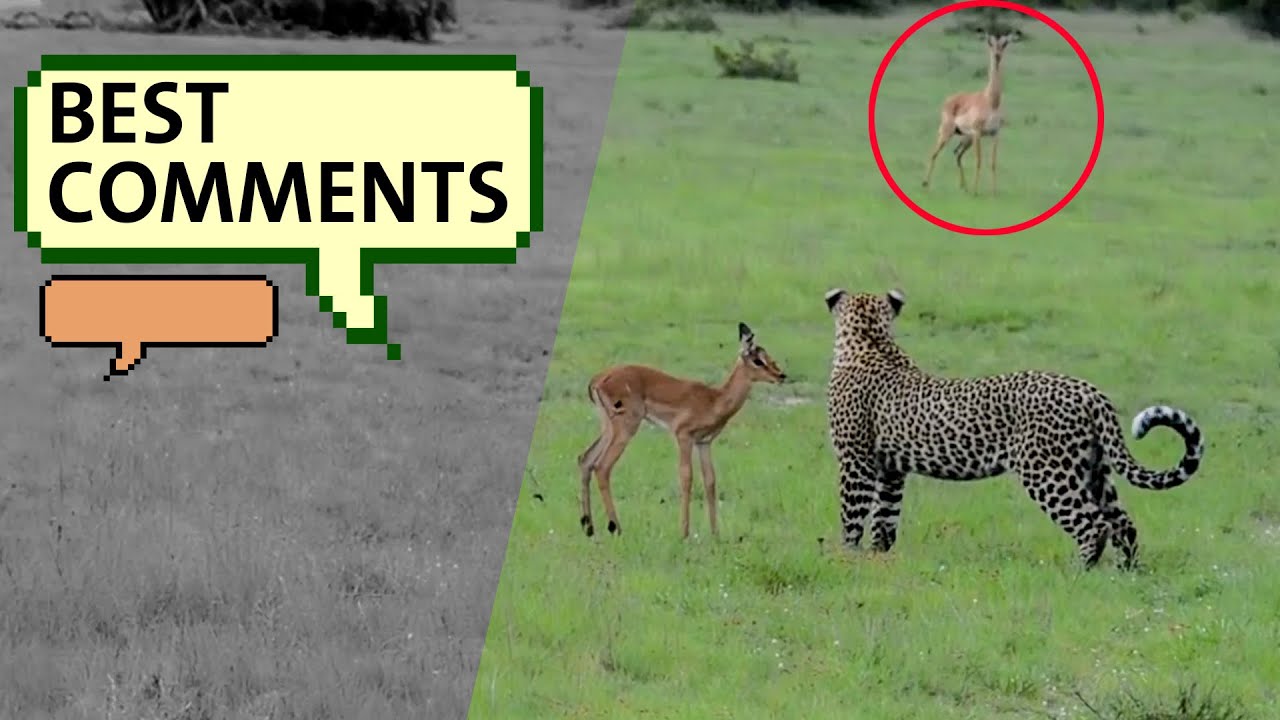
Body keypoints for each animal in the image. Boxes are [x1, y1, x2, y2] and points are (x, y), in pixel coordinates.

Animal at [576, 323, 787, 540]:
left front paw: (715, 533)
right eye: (757, 360)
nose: (781, 375)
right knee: (602, 467)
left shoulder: (704, 442)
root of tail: (598, 379)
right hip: (626, 428)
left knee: (586, 459)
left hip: (608, 428)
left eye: (767, 355)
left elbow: (710, 480)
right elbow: (687, 477)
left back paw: (589, 527)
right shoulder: (683, 437)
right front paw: (684, 532)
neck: (714, 399)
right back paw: (615, 527)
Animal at [822, 287, 1205, 570]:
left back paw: (1080, 572)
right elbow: (884, 519)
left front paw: (846, 558)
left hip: (1046, 470)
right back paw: (1126, 572)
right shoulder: (891, 470)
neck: (871, 341)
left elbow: (852, 515)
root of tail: (1089, 391)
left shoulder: (856, 461)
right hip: (1093, 469)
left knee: (1094, 524)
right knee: (1123, 523)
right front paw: (878, 559)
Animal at [922, 30, 1022, 195]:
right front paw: (976, 192)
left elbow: (993, 162)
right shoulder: (977, 133)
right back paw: (926, 184)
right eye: (989, 42)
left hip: (965, 138)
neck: (991, 101)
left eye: (1005, 43)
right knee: (934, 153)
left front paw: (993, 192)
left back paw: (964, 187)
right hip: (948, 132)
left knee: (957, 154)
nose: (997, 55)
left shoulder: (995, 134)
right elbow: (978, 161)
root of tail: (949, 99)